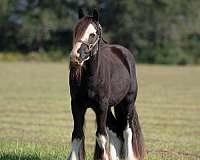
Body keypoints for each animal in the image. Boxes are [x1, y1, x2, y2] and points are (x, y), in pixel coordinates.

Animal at [67, 8, 144, 160]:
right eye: (76, 30)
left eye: (92, 34)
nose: (74, 57)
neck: (91, 78)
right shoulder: (77, 105)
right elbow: (77, 135)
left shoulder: (101, 106)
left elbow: (101, 136)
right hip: (109, 108)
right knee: (115, 130)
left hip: (127, 102)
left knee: (127, 131)